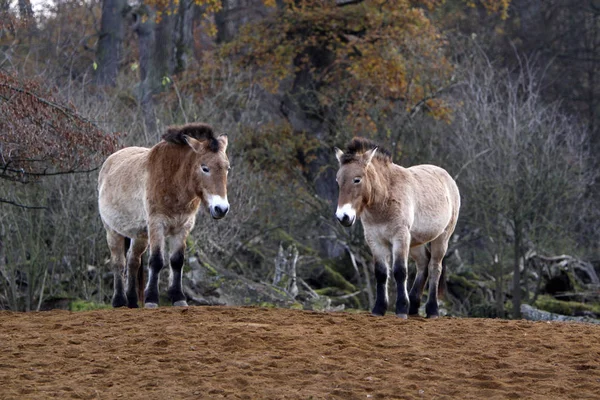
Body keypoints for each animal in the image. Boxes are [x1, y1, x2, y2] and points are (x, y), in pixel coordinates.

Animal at [98, 123, 230, 308]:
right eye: (205, 168)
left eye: (227, 168)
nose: (221, 209)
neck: (173, 180)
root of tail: (110, 160)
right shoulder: (157, 225)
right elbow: (157, 260)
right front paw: (152, 299)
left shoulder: (183, 227)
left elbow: (177, 261)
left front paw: (179, 298)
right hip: (112, 231)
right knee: (118, 262)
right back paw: (119, 301)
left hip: (139, 236)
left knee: (133, 261)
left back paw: (132, 301)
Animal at [332, 138, 460, 318]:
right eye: (338, 181)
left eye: (357, 179)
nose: (343, 217)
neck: (384, 198)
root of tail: (447, 178)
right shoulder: (375, 240)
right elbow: (381, 273)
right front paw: (379, 309)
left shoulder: (400, 237)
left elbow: (400, 271)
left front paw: (401, 309)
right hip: (416, 242)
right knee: (423, 265)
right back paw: (414, 307)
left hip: (441, 238)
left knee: (435, 268)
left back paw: (432, 310)